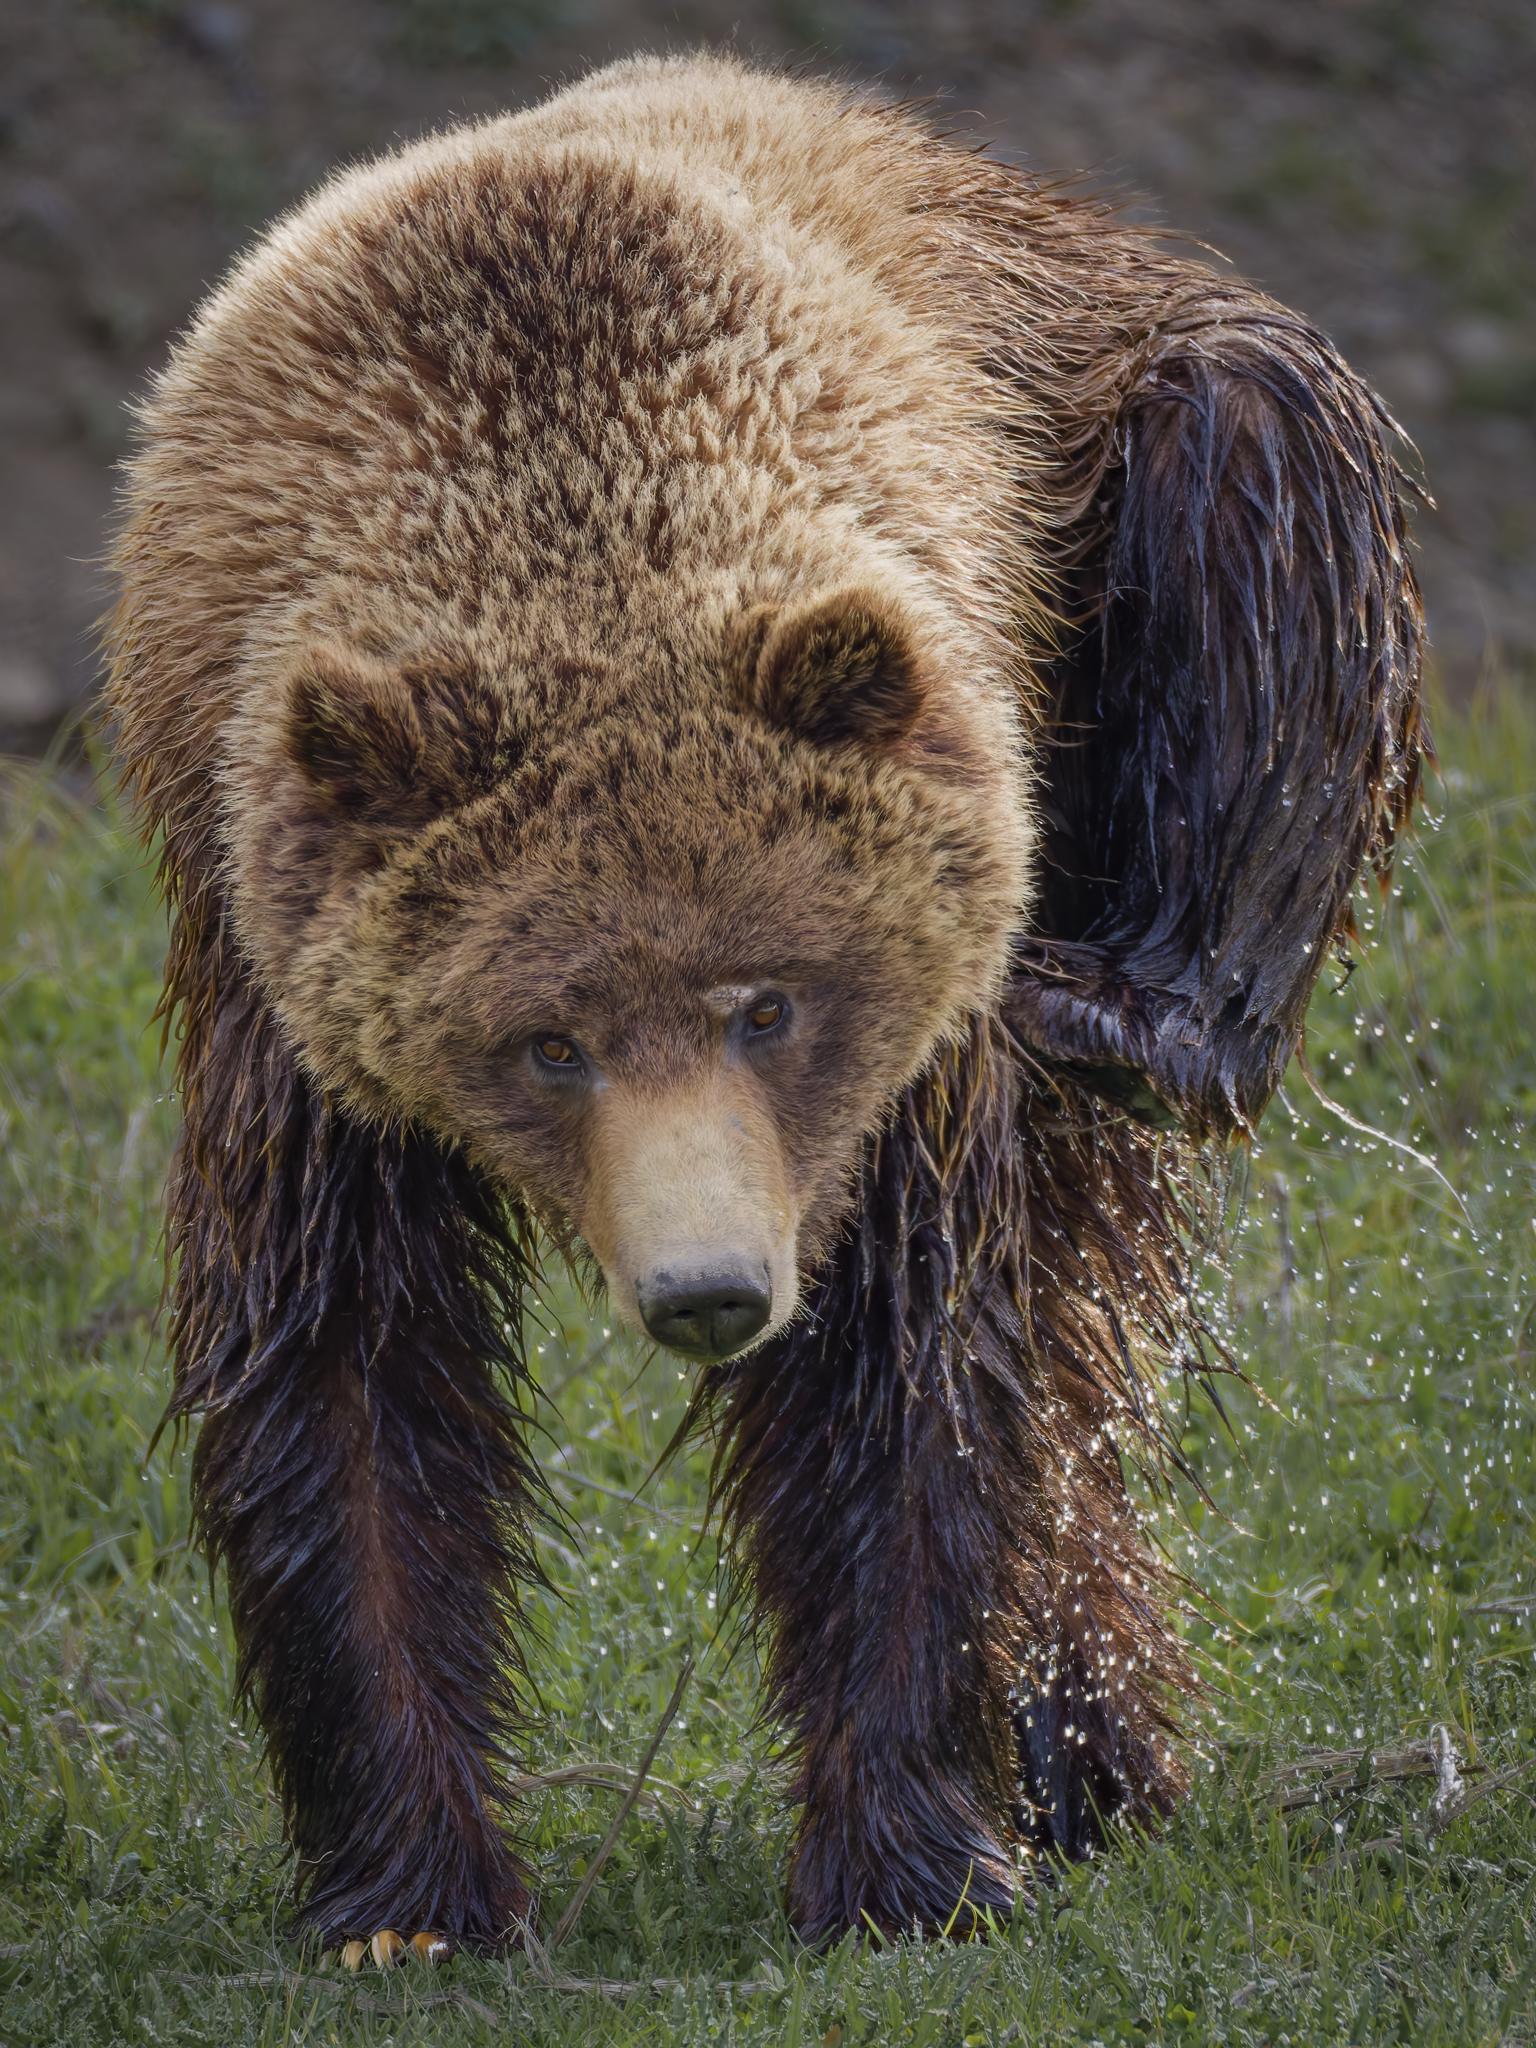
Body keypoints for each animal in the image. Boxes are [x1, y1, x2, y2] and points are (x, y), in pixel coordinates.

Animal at [107, 51, 1424, 1952]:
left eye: (771, 1004)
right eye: (547, 1039)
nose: (711, 1286)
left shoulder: (914, 1033)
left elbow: (906, 1358)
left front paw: (907, 1859)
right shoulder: (278, 982)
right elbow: (343, 1366)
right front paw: (411, 1886)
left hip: (1111, 467)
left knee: (1255, 495)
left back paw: (1152, 1012)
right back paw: (1097, 1739)